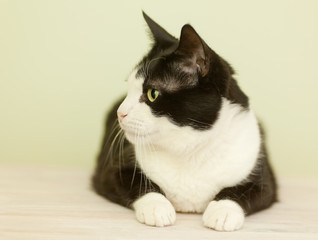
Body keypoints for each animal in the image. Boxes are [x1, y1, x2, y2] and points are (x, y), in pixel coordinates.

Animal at [92, 12, 276, 232]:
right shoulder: (109, 172)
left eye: (152, 94)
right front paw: (157, 207)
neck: (188, 149)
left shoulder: (264, 177)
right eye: (129, 88)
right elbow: (136, 182)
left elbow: (246, 190)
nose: (121, 113)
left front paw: (223, 210)